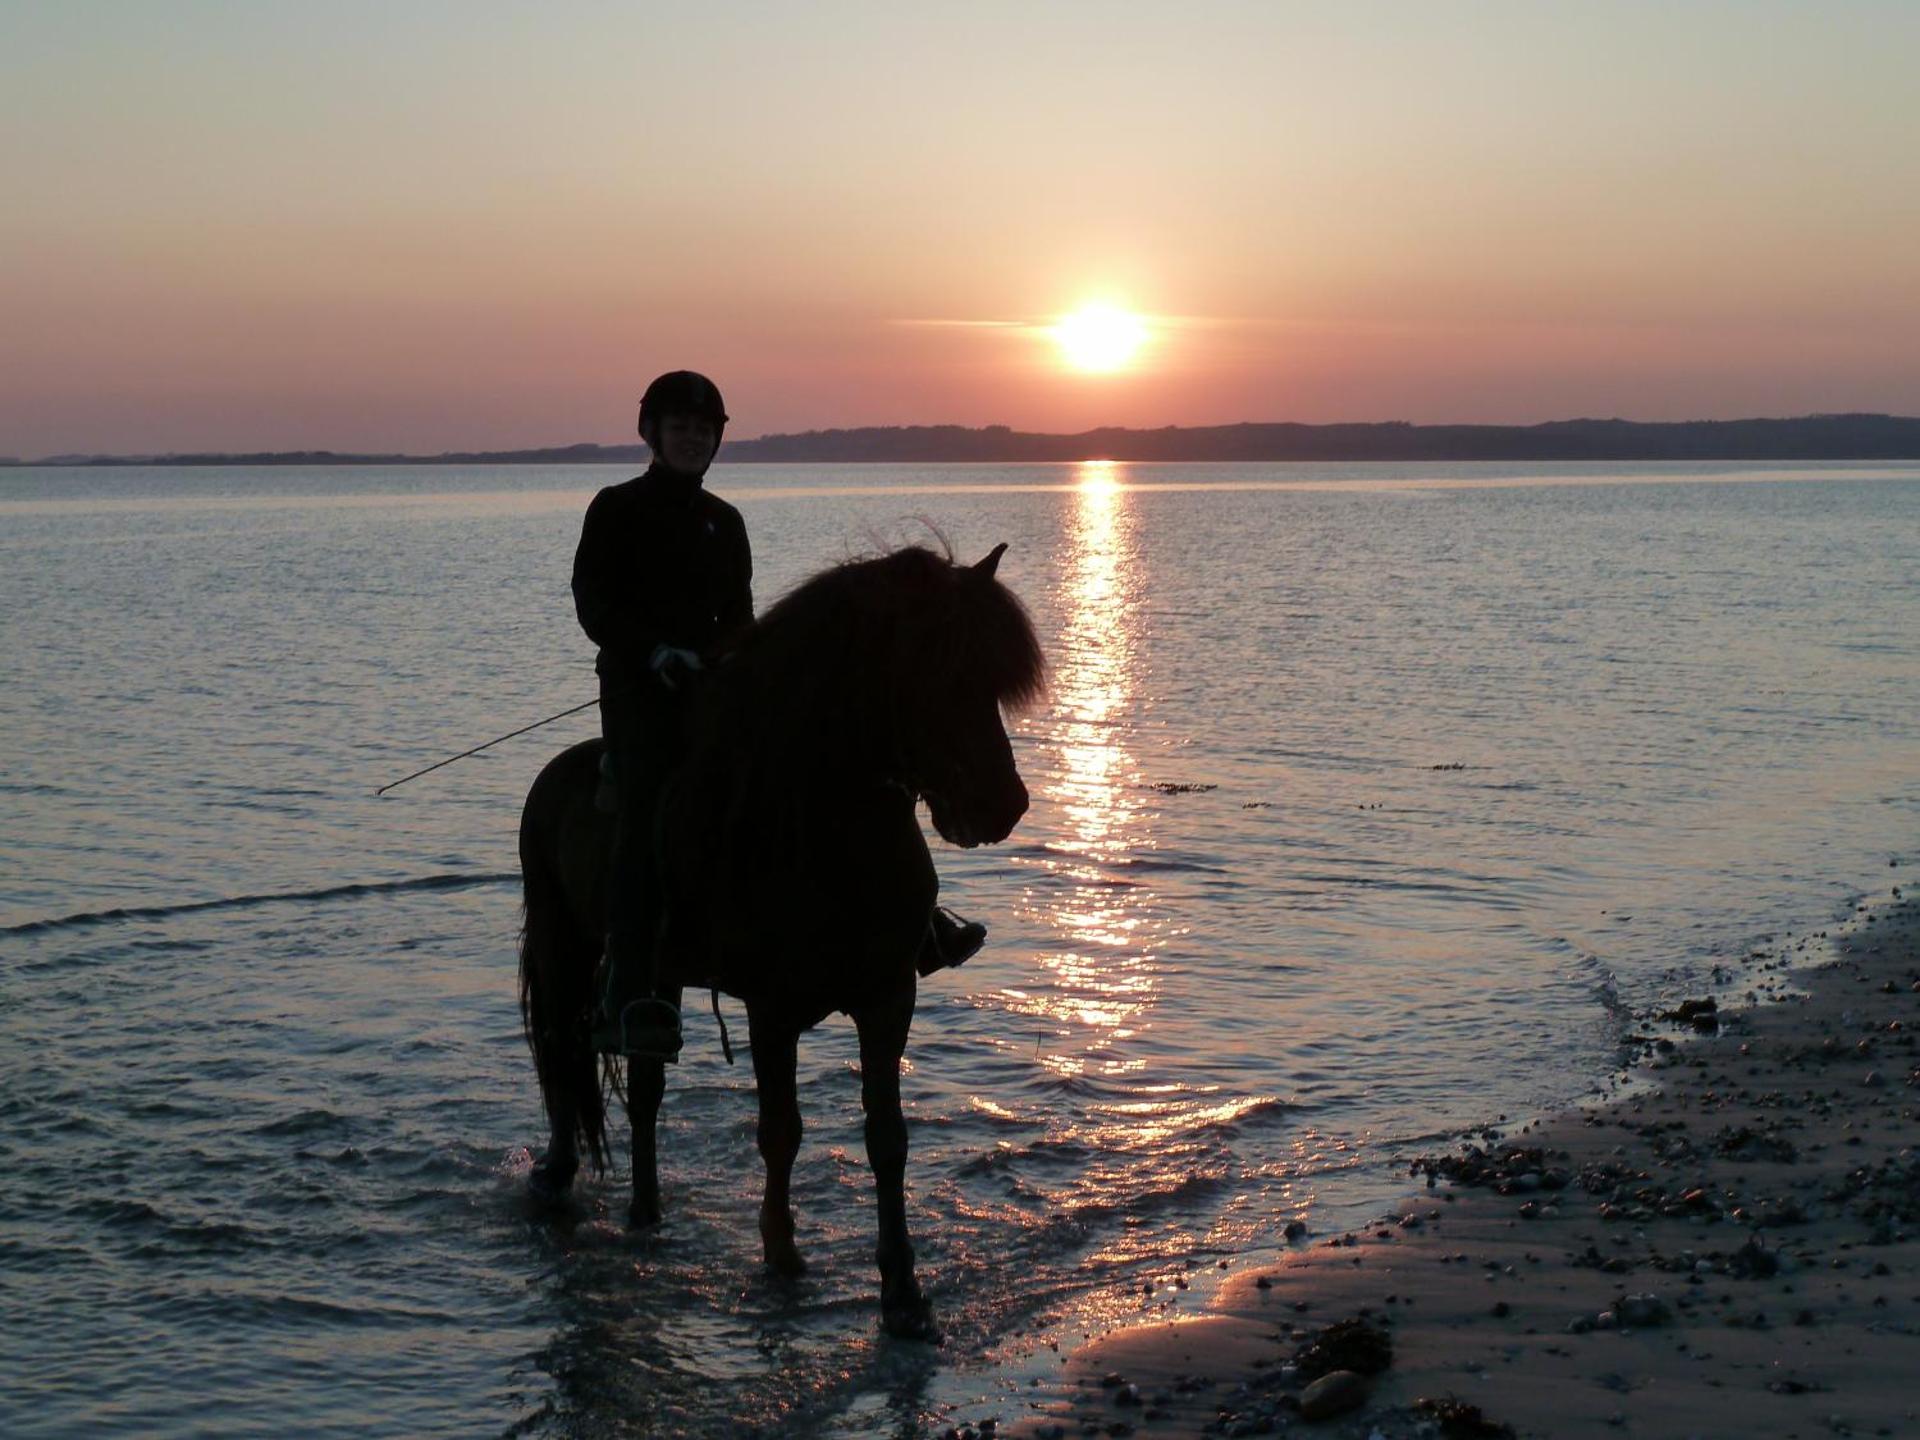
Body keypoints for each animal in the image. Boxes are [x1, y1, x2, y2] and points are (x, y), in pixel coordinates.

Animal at [516, 542, 1044, 1340]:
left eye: (990, 678)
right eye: (936, 669)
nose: (1000, 805)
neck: (823, 828)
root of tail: (557, 771)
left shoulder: (888, 999)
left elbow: (887, 1139)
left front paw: (903, 1291)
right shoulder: (772, 1011)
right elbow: (781, 1131)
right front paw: (782, 1253)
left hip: (656, 979)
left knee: (644, 1087)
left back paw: (646, 1210)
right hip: (562, 945)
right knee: (561, 1052)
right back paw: (556, 1174)